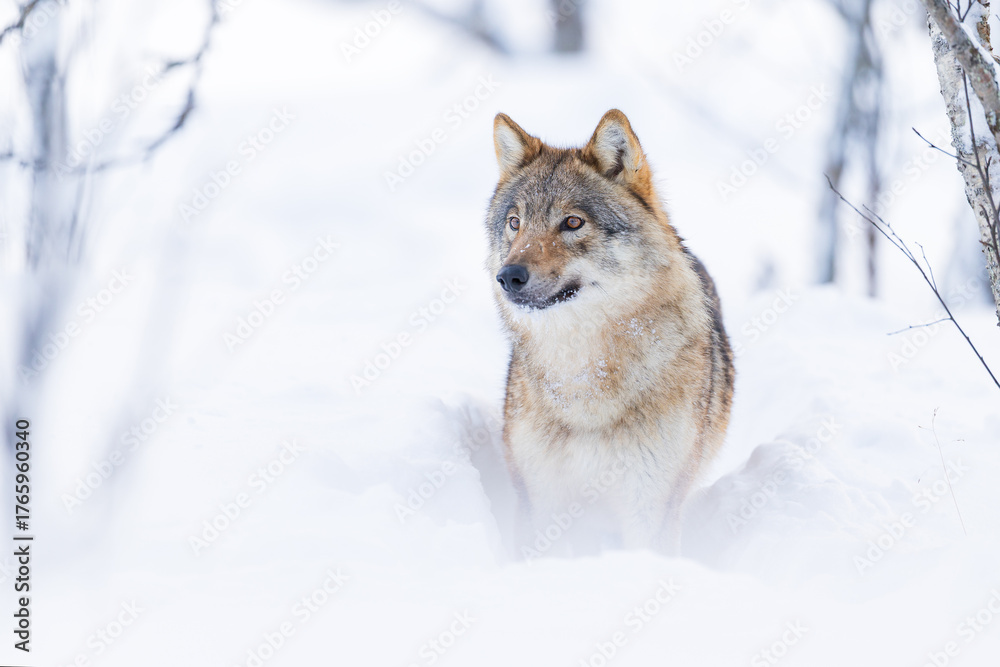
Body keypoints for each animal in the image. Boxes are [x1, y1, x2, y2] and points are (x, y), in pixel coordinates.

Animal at [485, 109, 734, 555]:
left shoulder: (649, 504)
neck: (582, 379)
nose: (508, 276)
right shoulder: (540, 499)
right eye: (515, 223)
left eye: (572, 222)